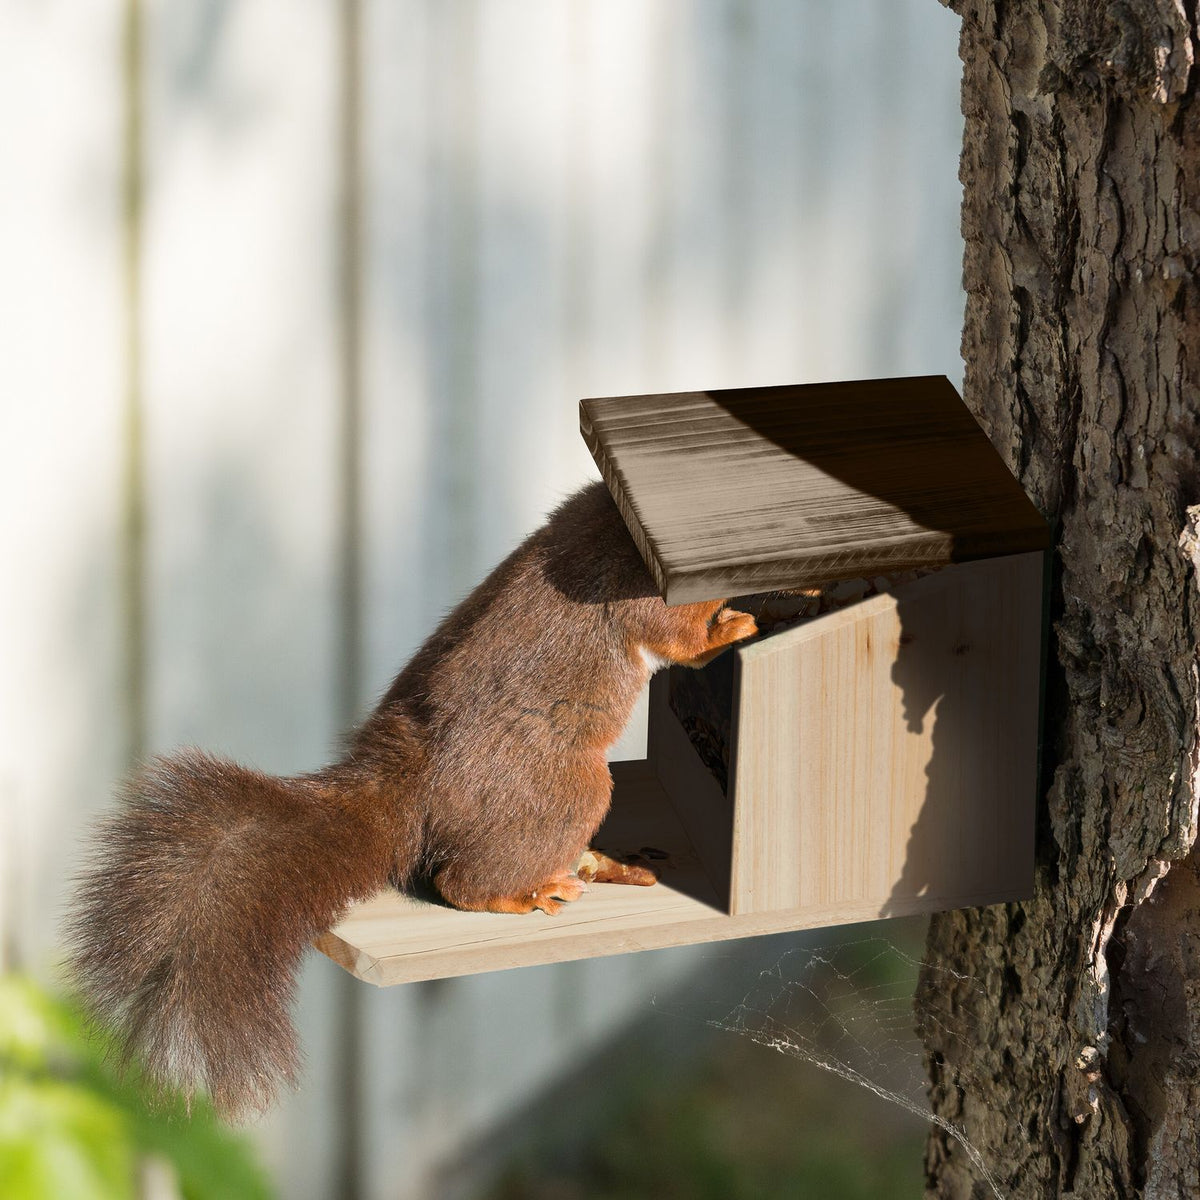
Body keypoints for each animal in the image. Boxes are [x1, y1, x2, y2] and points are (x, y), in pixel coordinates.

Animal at [66, 480, 758, 1119]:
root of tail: (417, 794)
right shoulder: (632, 590)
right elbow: (681, 637)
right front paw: (740, 620)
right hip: (571, 788)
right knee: (462, 881)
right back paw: (525, 891)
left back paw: (598, 864)